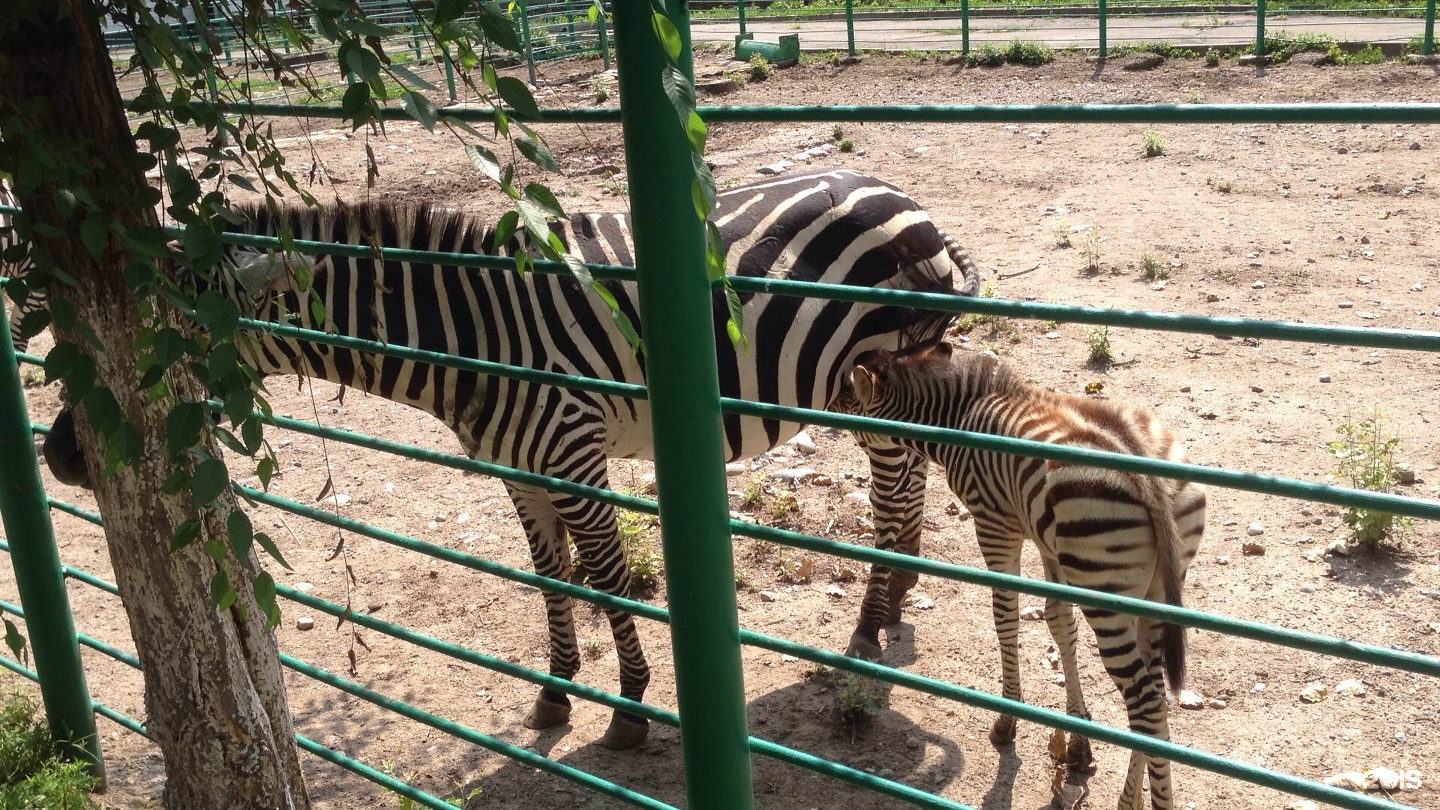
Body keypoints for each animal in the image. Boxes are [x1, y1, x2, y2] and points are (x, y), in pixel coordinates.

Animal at [33, 167, 984, 749]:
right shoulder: (519, 471)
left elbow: (607, 578)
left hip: (871, 382)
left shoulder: (576, 458)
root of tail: (901, 194)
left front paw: (630, 706)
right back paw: (894, 600)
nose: (61, 455)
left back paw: (872, 619)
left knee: (896, 491)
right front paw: (558, 692)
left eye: (167, 339)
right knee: (908, 485)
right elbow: (551, 577)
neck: (475, 338)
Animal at [835, 338, 1203, 807]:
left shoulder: (995, 526)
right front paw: (1077, 742)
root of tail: (1147, 470)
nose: (825, 410)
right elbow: (1060, 624)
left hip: (1106, 590)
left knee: (1145, 704)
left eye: (846, 400)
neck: (959, 417)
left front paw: (1007, 722)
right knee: (1153, 696)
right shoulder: (1048, 542)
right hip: (1154, 590)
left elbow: (1005, 619)